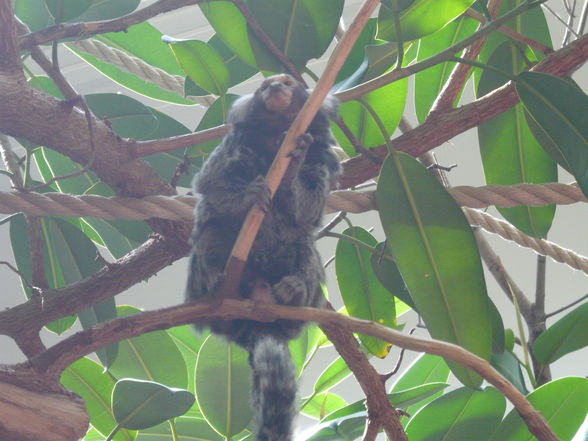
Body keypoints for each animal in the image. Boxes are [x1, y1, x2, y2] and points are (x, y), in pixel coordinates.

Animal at [184, 74, 340, 440]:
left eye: (287, 82)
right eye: (265, 86)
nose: (274, 88)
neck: (273, 141)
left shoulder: (320, 159)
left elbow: (307, 213)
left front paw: (293, 163)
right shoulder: (232, 149)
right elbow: (210, 185)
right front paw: (249, 195)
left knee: (304, 243)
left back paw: (294, 291)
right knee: (211, 233)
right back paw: (216, 283)